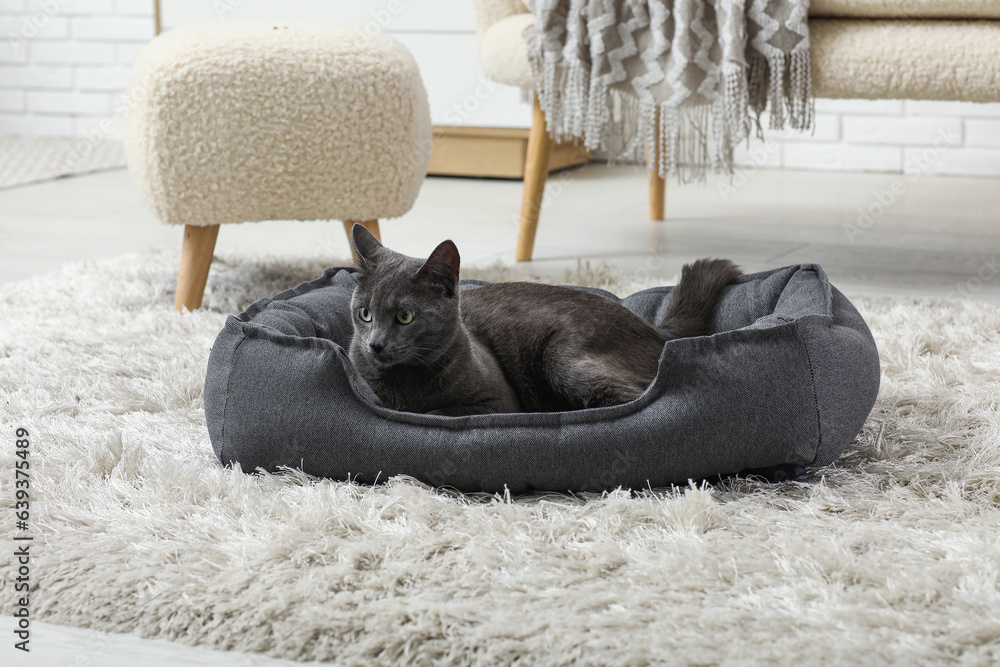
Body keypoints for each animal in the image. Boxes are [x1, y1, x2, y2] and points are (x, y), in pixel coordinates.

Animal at [348, 230, 740, 418]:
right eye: (365, 313)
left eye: (405, 316)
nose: (375, 344)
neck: (403, 384)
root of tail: (651, 327)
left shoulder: (497, 403)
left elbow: (440, 412)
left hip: (563, 357)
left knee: (638, 398)